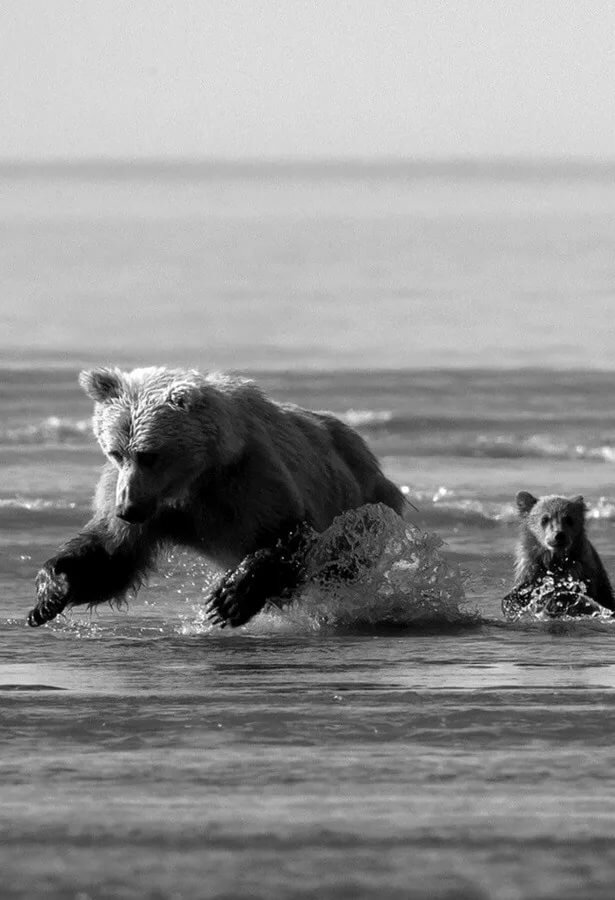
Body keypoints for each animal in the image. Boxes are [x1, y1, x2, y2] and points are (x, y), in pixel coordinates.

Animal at [27, 366, 405, 628]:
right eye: (116, 452)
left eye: (149, 454)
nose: (127, 509)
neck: (194, 479)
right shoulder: (147, 502)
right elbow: (112, 556)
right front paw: (51, 591)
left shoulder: (249, 479)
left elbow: (289, 533)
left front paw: (228, 599)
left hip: (359, 506)